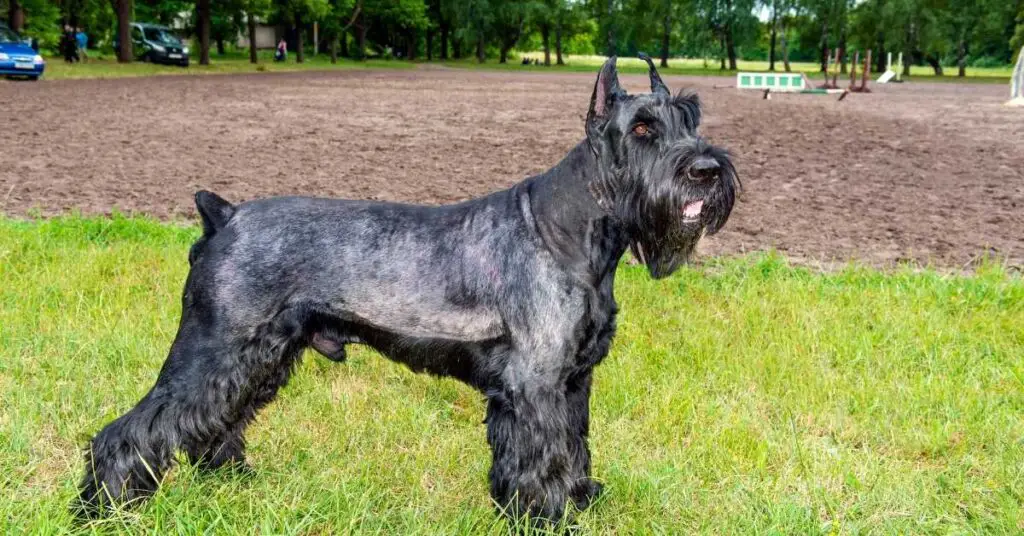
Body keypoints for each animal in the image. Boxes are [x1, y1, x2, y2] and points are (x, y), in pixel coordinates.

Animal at [75, 56, 741, 524]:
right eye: (643, 127)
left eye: (691, 117)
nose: (707, 170)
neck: (569, 230)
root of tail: (224, 215)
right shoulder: (536, 386)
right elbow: (541, 461)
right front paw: (548, 518)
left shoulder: (572, 382)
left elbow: (572, 451)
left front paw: (579, 501)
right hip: (212, 350)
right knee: (129, 433)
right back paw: (101, 509)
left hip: (256, 359)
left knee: (213, 425)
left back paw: (232, 484)